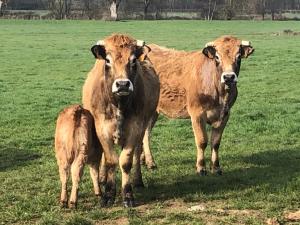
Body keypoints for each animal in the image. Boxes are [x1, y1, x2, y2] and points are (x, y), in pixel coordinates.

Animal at [82, 33, 161, 207]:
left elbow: (126, 161)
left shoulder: (135, 129)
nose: (123, 84)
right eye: (107, 60)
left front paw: (128, 195)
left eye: (133, 60)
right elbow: (111, 160)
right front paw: (108, 194)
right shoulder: (102, 129)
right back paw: (102, 177)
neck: (119, 104)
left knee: (138, 151)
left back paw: (138, 180)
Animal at [142, 35, 254, 176]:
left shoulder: (225, 114)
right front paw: (201, 167)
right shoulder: (197, 114)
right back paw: (150, 162)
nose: (229, 77)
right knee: (146, 134)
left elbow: (216, 143)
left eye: (238, 57)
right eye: (217, 57)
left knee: (145, 132)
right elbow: (202, 141)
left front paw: (216, 167)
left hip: (154, 111)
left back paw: (144, 161)